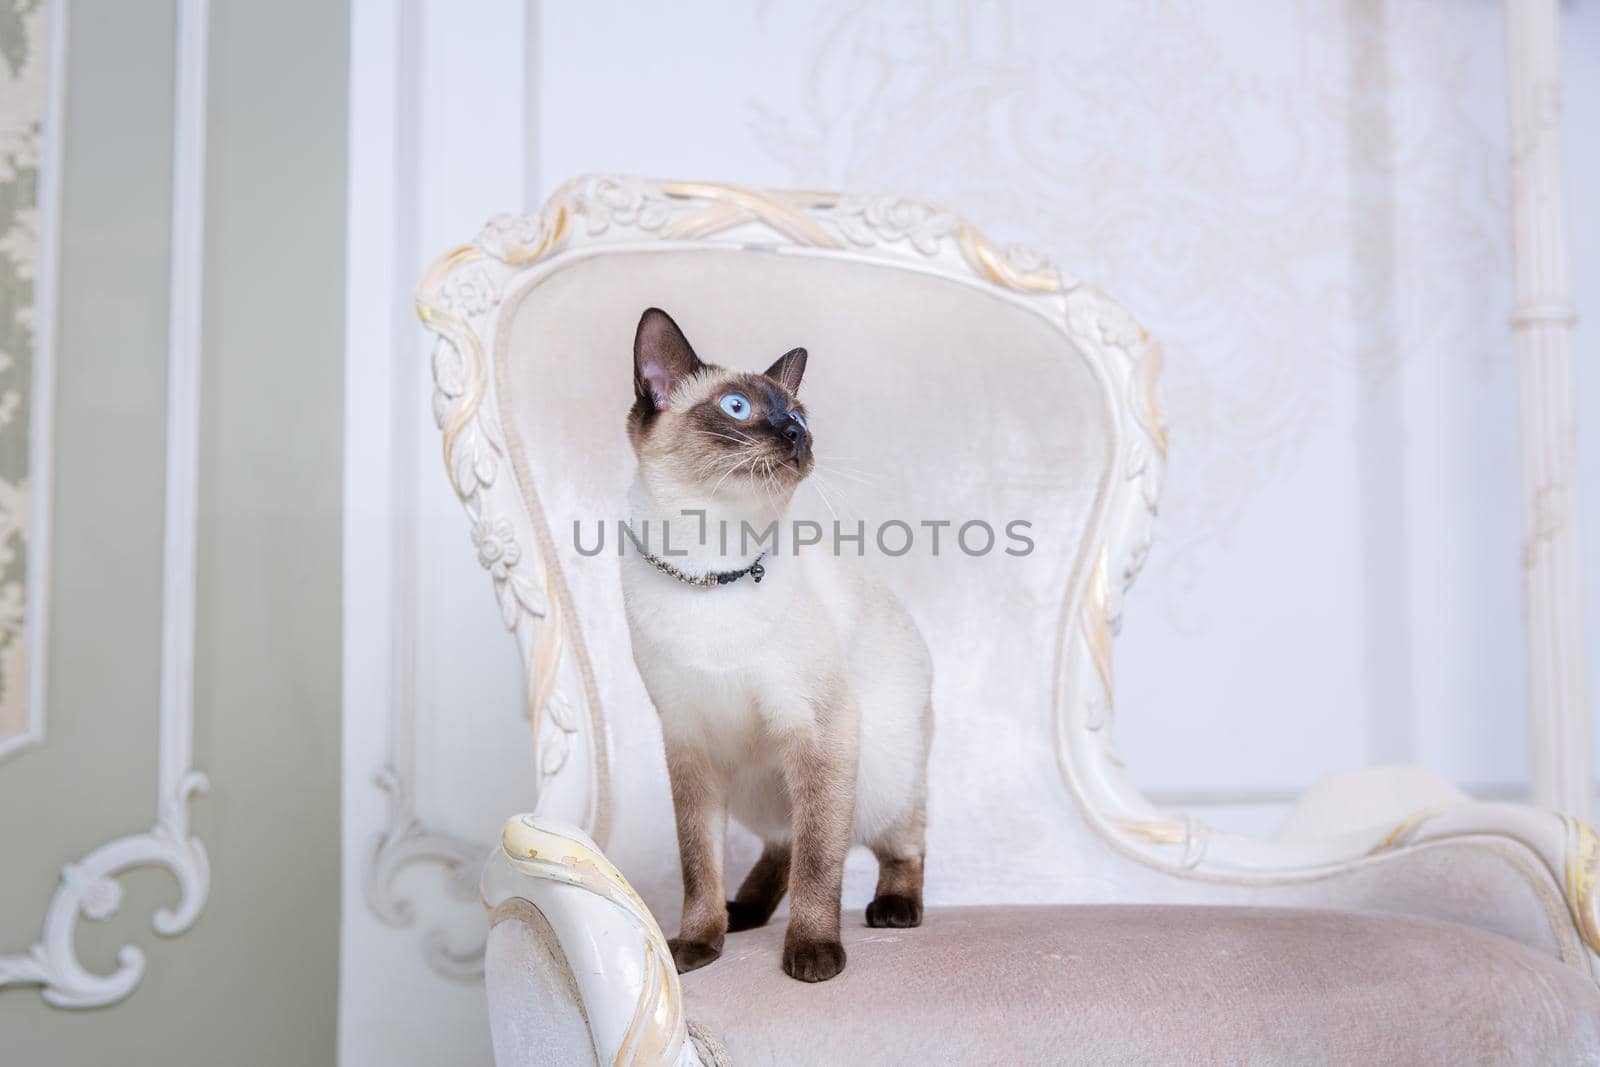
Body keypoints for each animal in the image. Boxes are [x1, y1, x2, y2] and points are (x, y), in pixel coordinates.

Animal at [614, 308, 934, 985]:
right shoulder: (688, 743)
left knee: (898, 843)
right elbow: (699, 864)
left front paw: (813, 956)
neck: (709, 571)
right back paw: (741, 914)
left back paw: (893, 910)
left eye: (801, 416)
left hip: (879, 776)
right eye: (736, 407)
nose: (794, 434)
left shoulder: (819, 731)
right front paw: (697, 946)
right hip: (763, 788)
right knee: (783, 843)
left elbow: (820, 863)